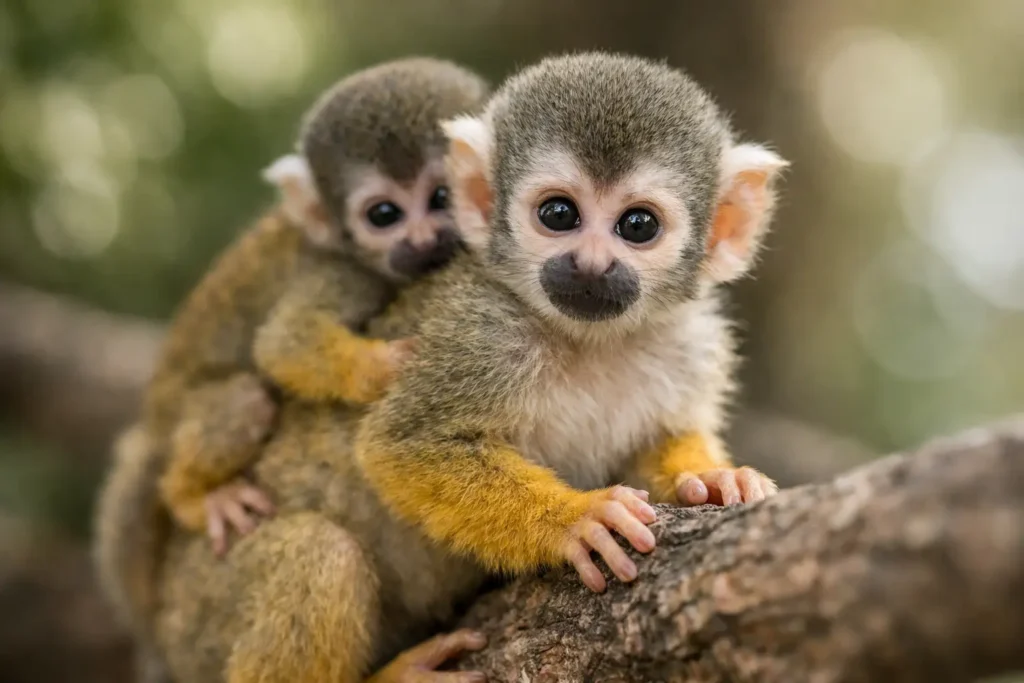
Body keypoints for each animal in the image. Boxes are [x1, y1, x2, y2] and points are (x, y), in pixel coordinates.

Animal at [92, 57, 490, 682]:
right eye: (384, 215)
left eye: (442, 196)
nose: (423, 241)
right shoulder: (343, 269)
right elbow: (284, 344)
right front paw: (380, 367)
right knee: (247, 399)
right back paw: (191, 494)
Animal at [148, 51, 786, 683]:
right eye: (559, 214)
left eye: (638, 225)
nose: (589, 267)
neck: (592, 340)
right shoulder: (478, 331)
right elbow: (401, 446)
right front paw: (574, 519)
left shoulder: (690, 344)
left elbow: (662, 439)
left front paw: (710, 479)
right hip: (199, 616)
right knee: (318, 552)